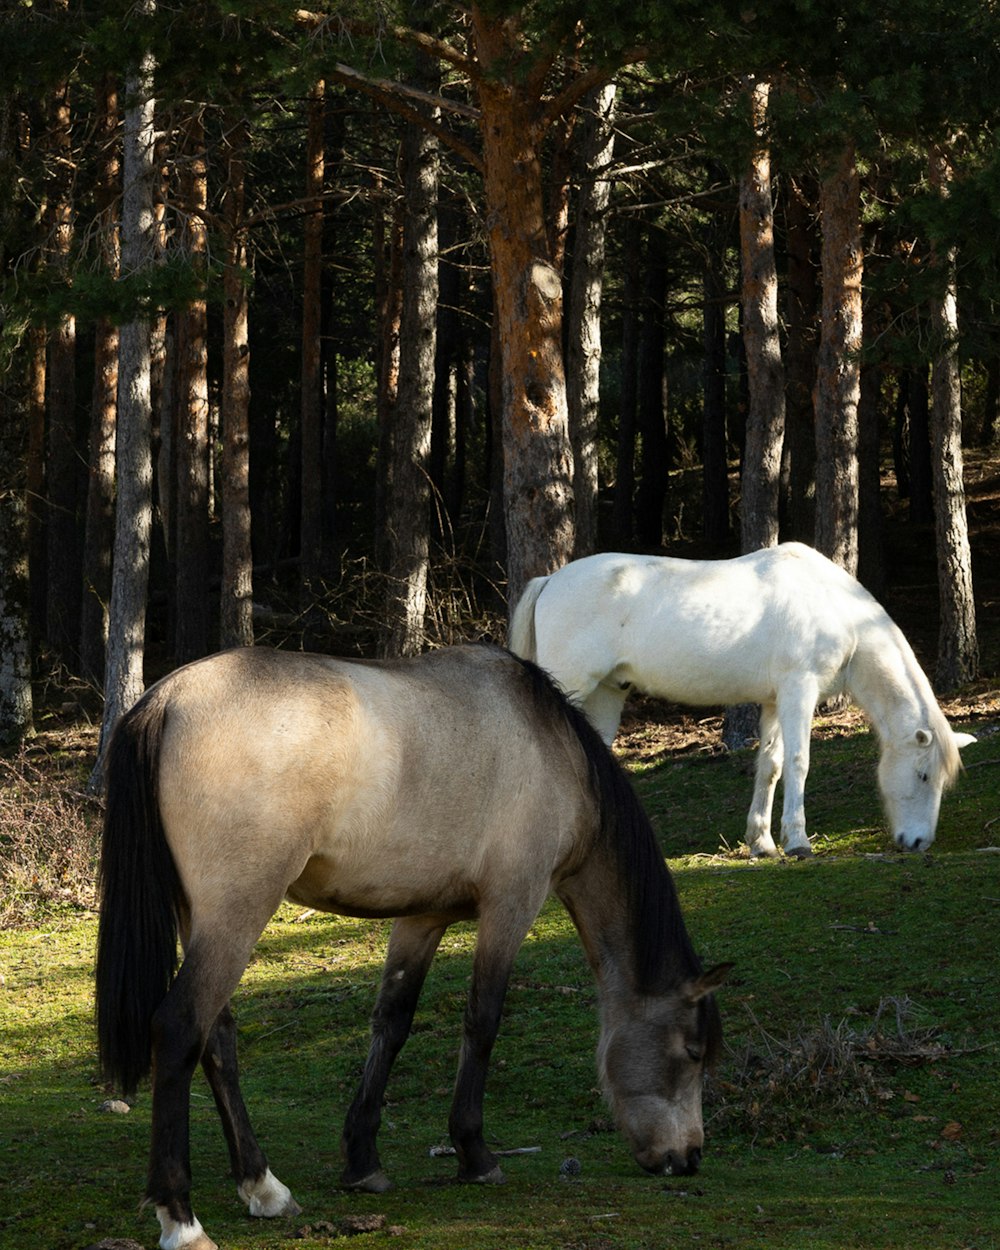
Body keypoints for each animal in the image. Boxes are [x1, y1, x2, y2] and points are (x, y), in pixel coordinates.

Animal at [95, 645, 725, 1250]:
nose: (690, 1158)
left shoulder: (423, 917)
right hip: (237, 912)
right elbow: (483, 1022)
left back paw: (264, 1188)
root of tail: (167, 700)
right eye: (693, 1052)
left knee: (217, 1036)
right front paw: (474, 1154)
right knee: (180, 1028)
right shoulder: (512, 905)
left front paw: (362, 1160)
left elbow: (392, 1023)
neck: (554, 750)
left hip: (199, 916)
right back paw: (182, 1220)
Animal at [512, 547, 975, 860]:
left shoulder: (773, 702)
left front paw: (762, 842)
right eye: (922, 775)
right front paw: (798, 841)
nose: (919, 843)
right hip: (573, 685)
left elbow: (770, 766)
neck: (837, 608)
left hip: (607, 694)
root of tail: (551, 580)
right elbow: (799, 763)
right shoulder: (798, 691)